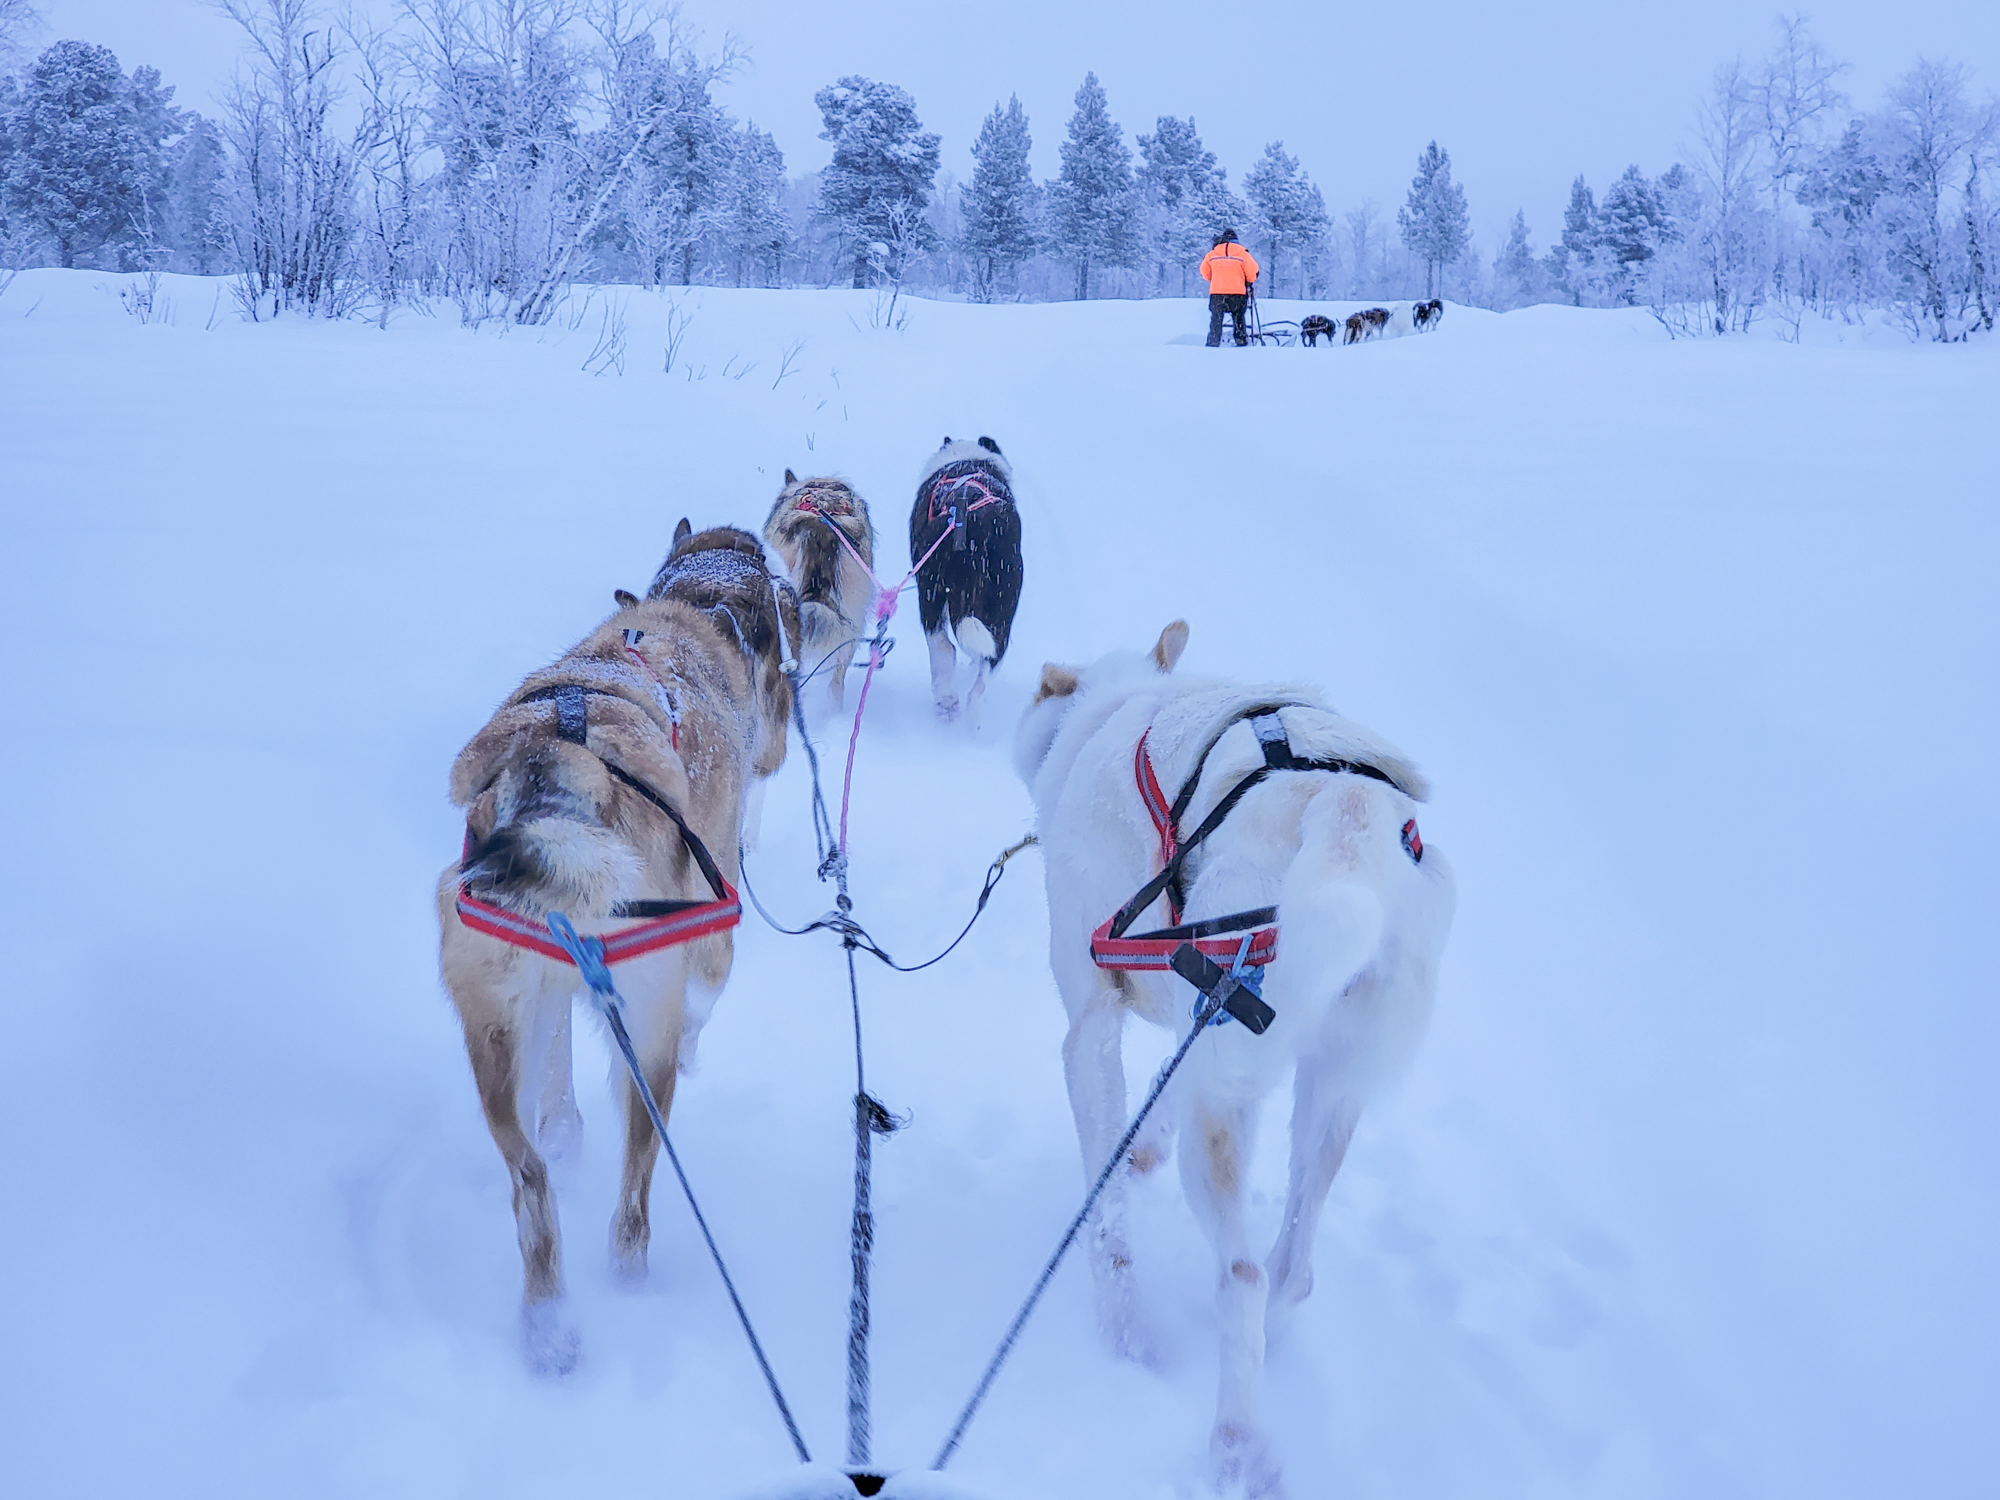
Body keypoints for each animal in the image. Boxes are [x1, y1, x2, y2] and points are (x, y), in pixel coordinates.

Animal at [1016, 616, 1456, 1496]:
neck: (1115, 706)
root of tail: (1346, 807)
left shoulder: (1090, 1029)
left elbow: (1106, 1218)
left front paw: (1123, 1334)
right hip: (1328, 1084)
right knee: (1292, 1268)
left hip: (1224, 1106)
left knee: (1245, 1274)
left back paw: (1236, 1441)